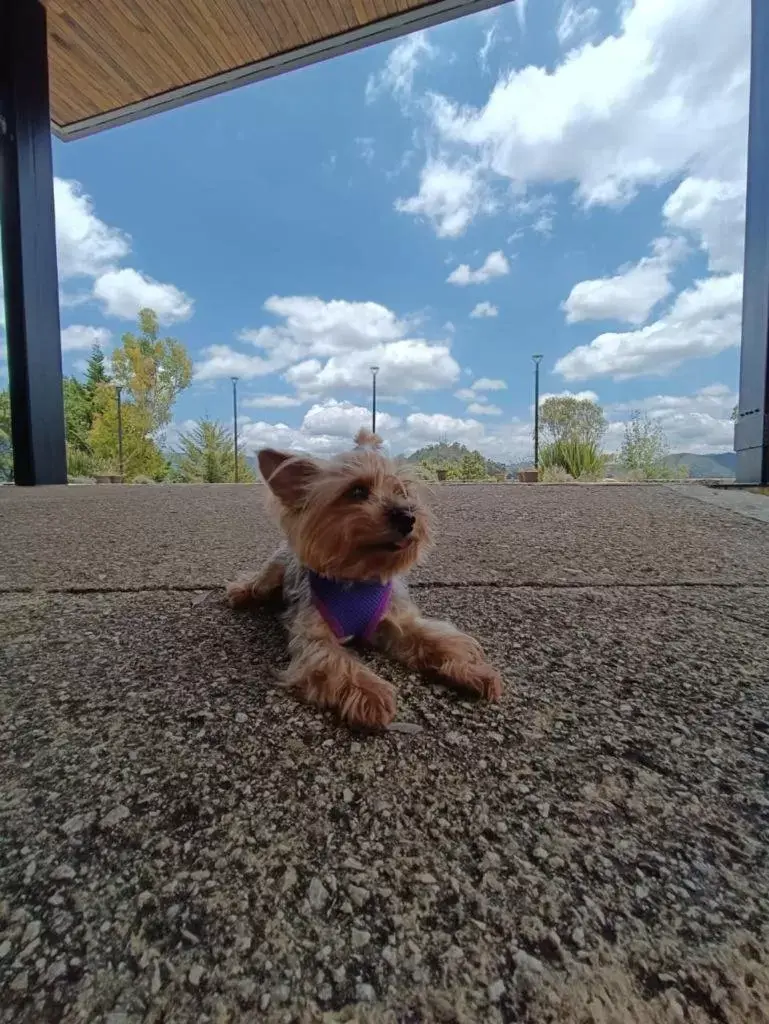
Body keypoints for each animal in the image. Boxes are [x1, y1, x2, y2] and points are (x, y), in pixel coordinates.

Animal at [225, 425, 501, 729]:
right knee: (259, 583)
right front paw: (372, 693)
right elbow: (336, 661)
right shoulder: (314, 637)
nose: (407, 517)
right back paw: (241, 593)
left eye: (403, 491)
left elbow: (436, 639)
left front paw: (474, 670)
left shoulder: (396, 620)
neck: (358, 577)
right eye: (357, 491)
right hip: (274, 570)